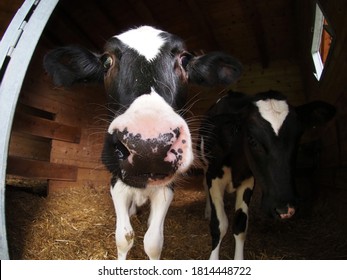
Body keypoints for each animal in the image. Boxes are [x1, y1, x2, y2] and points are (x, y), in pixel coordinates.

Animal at [43, 25, 243, 260]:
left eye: (185, 59)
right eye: (106, 61)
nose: (148, 145)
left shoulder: (167, 187)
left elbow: (153, 242)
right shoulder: (116, 181)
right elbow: (123, 237)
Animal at [198, 90, 338, 260]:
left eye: (298, 137)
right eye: (251, 139)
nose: (286, 209)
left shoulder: (248, 179)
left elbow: (240, 224)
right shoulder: (214, 176)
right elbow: (219, 225)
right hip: (204, 166)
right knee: (204, 186)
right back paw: (207, 210)